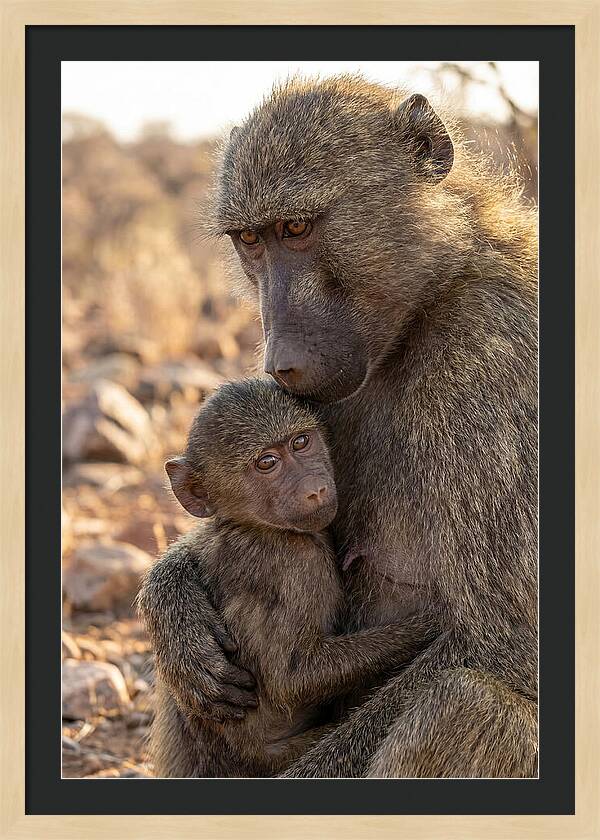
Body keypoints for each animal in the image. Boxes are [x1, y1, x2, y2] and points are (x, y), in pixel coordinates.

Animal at [138, 378, 436, 777]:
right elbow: (292, 679)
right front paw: (430, 625)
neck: (253, 526)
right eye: (267, 463)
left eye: (301, 442)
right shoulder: (297, 564)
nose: (316, 489)